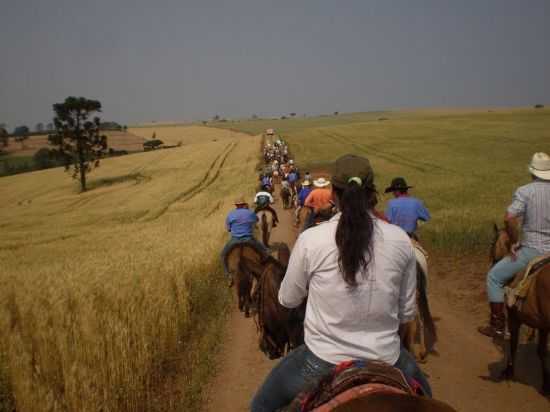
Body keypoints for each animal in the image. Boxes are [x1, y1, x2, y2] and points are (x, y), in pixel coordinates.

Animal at [492, 225, 550, 396]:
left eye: (492, 243)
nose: (493, 262)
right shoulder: (543, 326)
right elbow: (542, 352)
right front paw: (546, 384)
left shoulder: (514, 318)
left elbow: (513, 343)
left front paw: (509, 371)